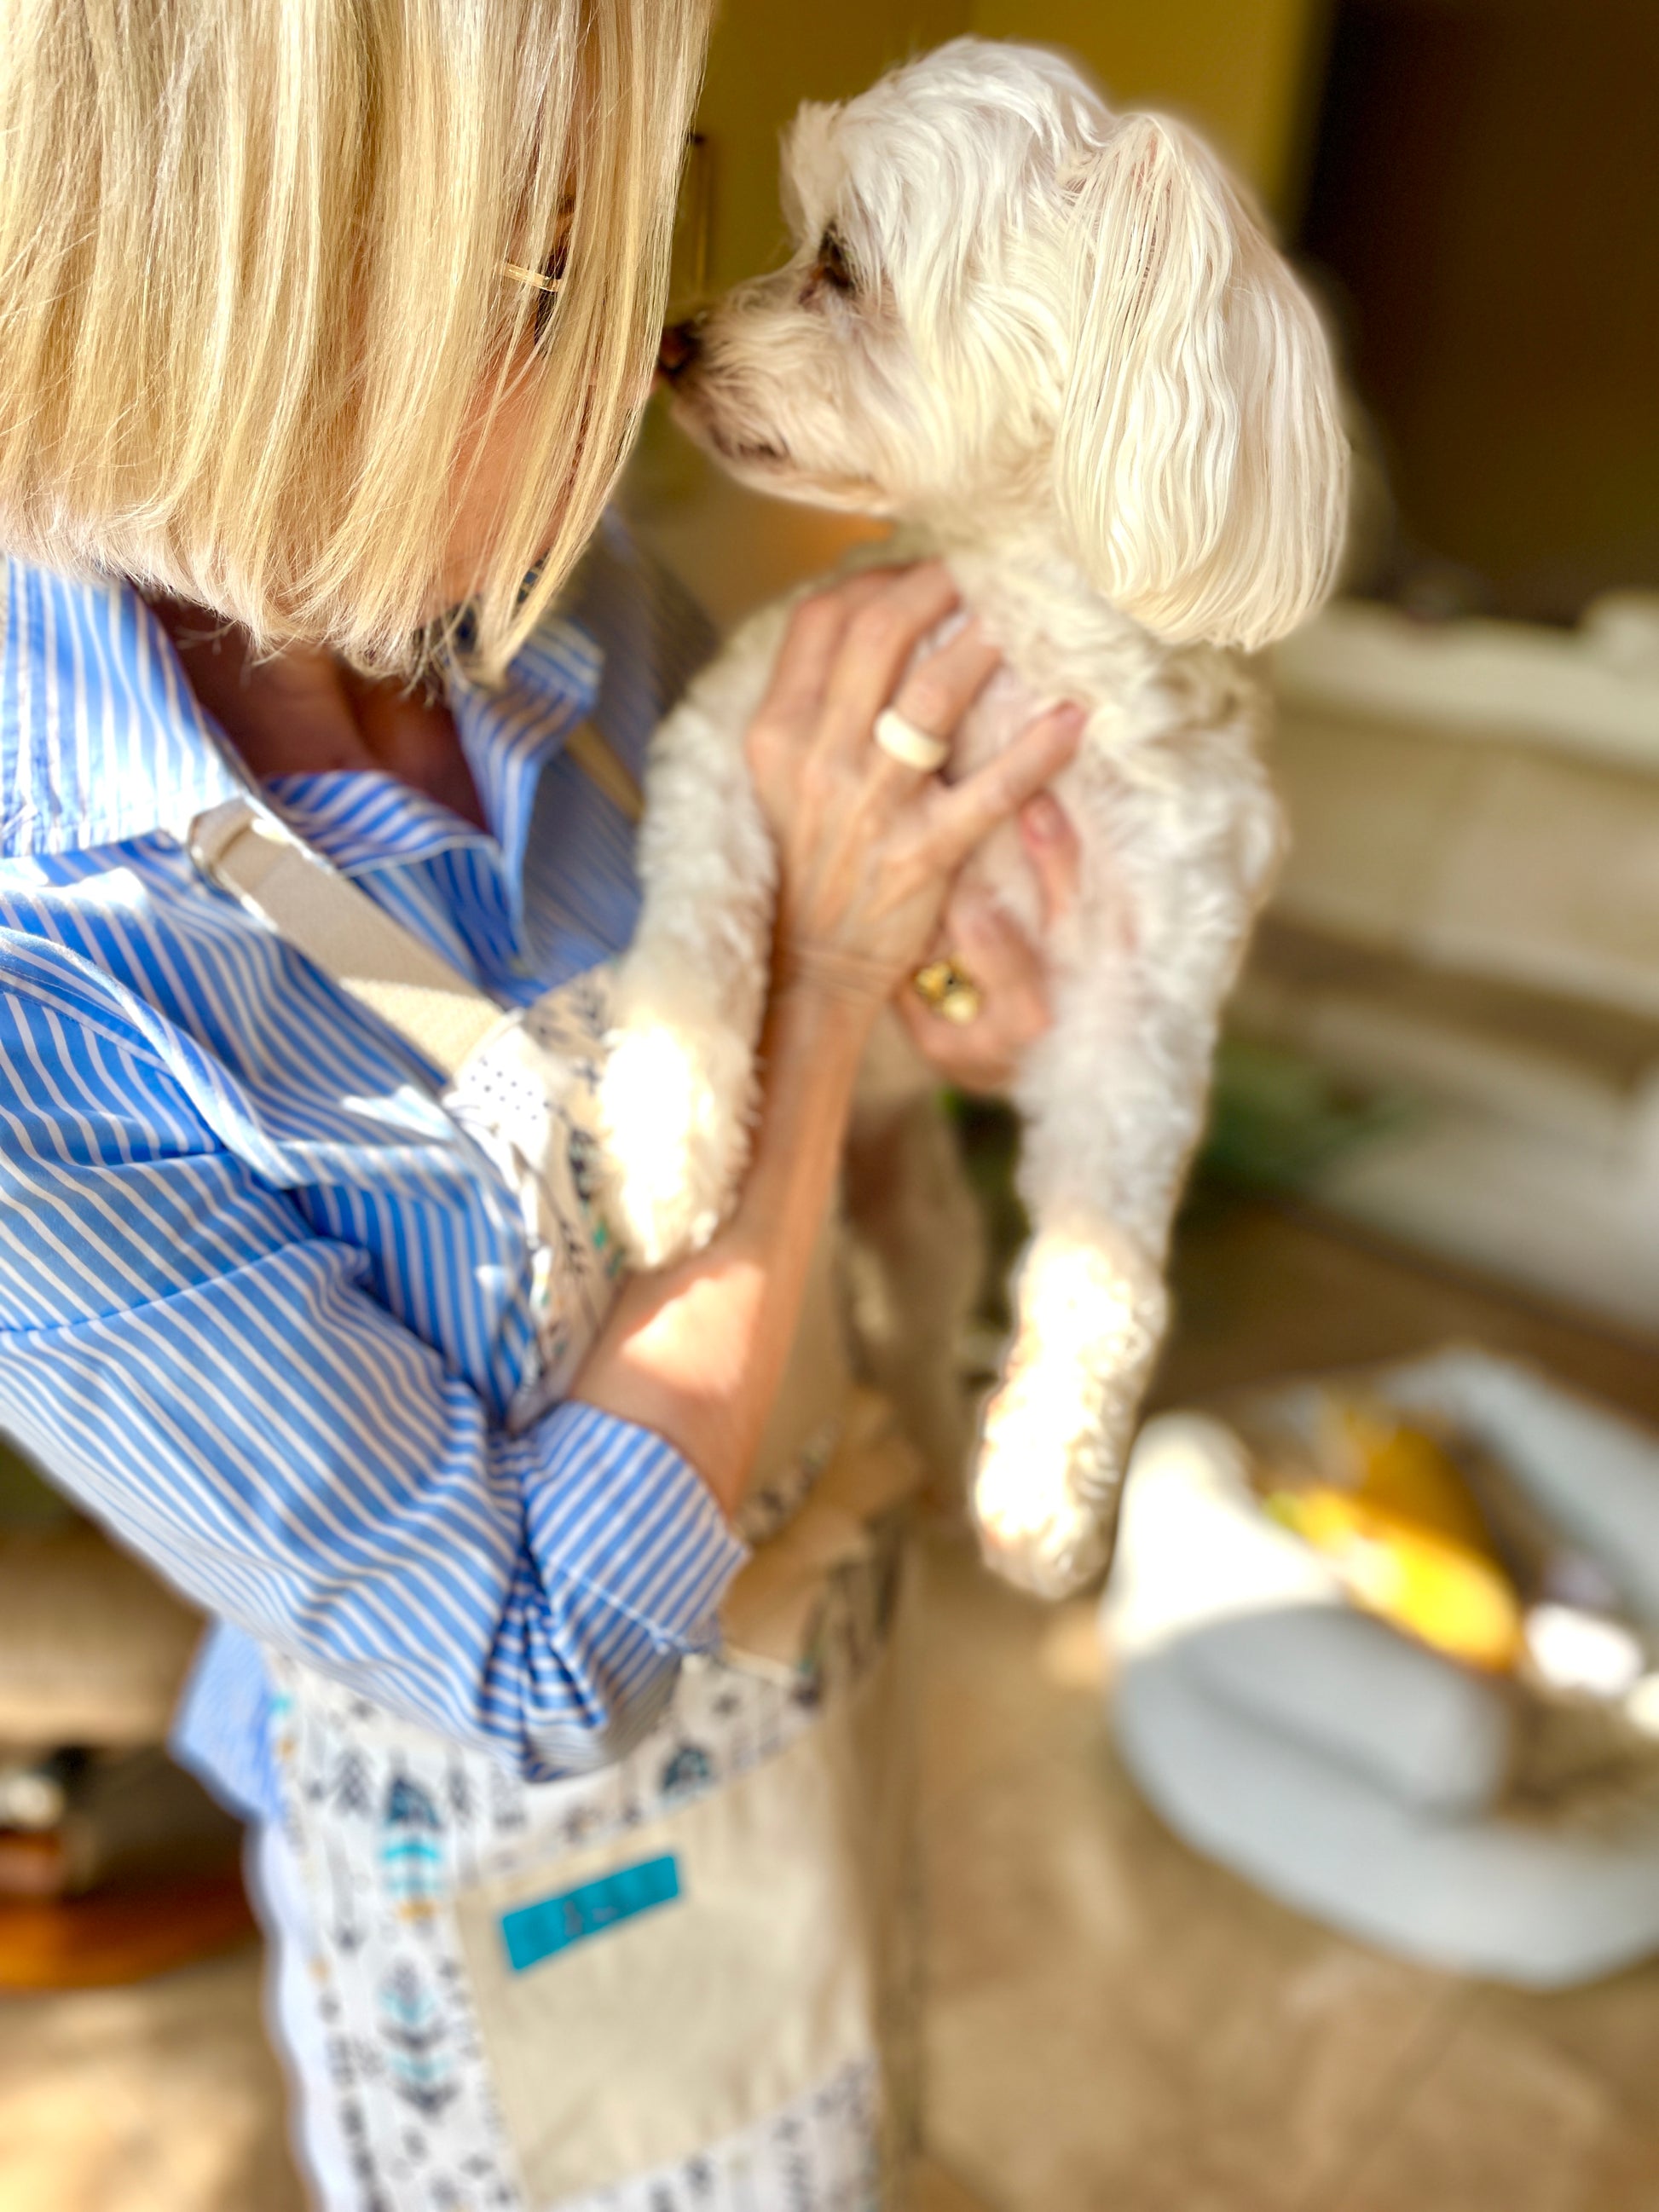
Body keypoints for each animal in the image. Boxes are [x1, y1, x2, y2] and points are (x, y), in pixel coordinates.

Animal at [597, 34, 1353, 1592]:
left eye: (837, 259)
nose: (674, 340)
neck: (1022, 649)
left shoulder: (1138, 1013)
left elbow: (1102, 1273)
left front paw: (1047, 1493)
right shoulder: (728, 748)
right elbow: (697, 947)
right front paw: (667, 1146)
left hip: (928, 1227)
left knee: (923, 1351)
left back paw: (949, 1478)